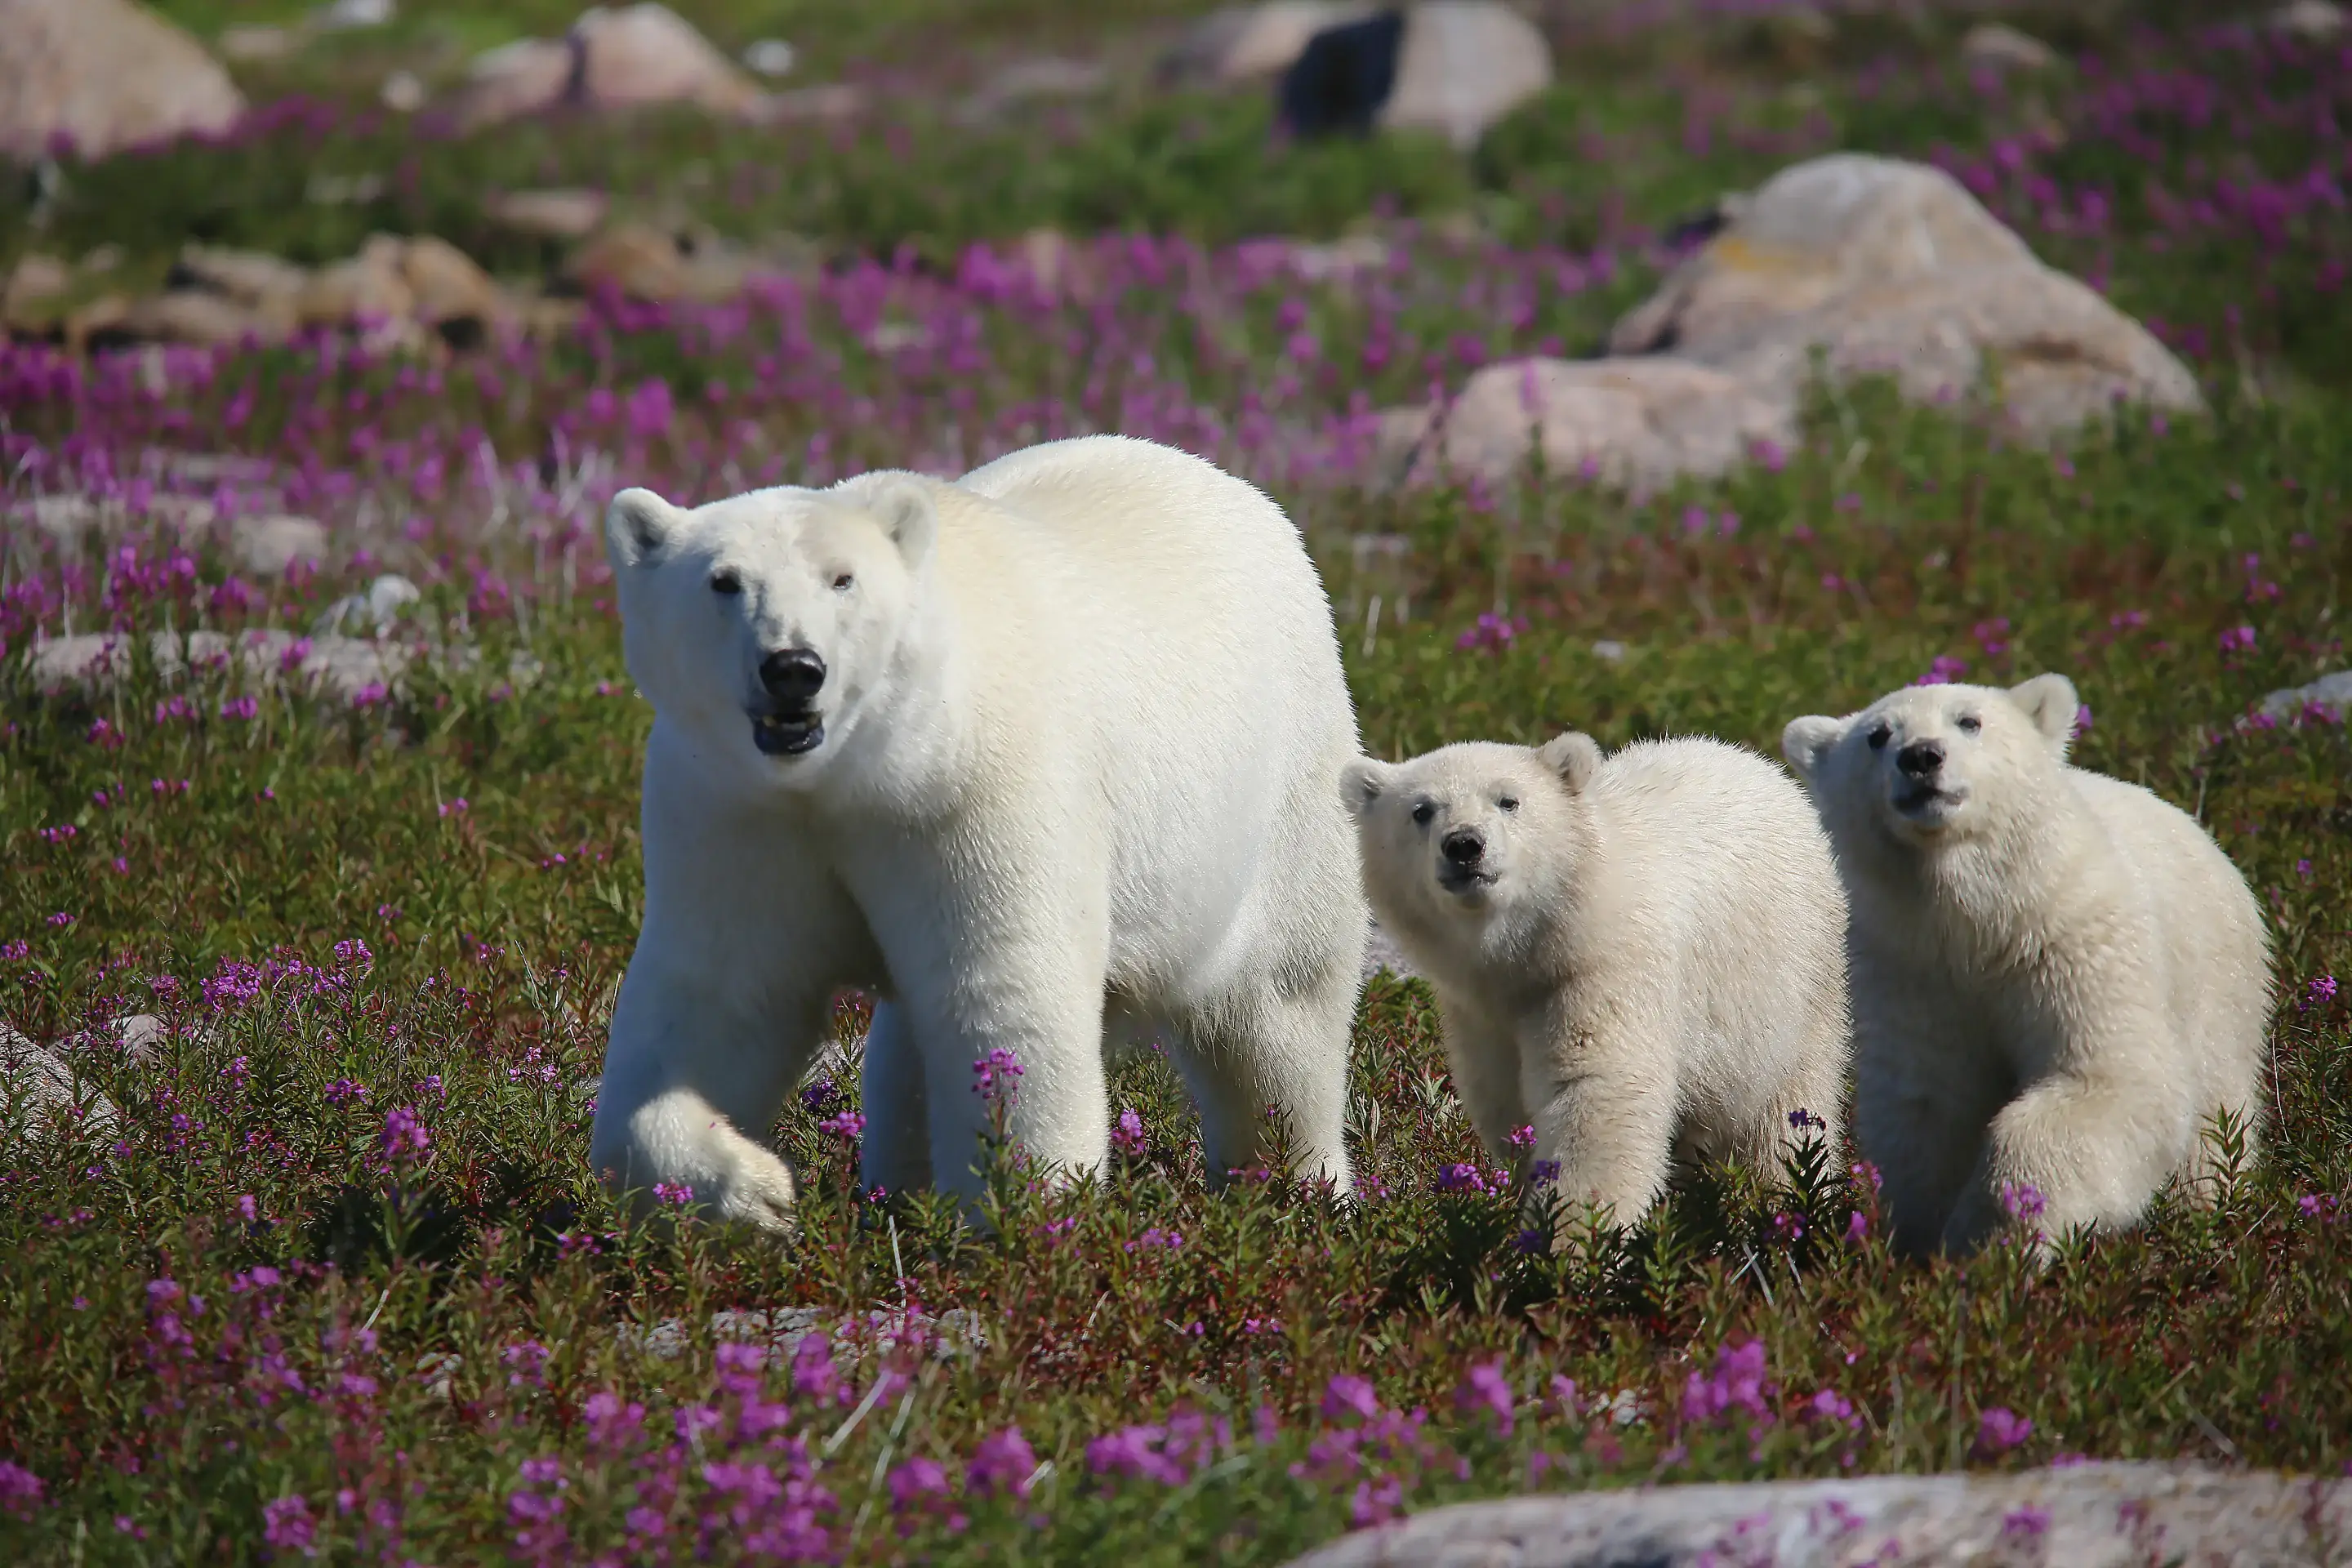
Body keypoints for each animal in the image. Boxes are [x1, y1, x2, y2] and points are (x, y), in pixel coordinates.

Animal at [587, 435, 1369, 1232]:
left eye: (842, 579)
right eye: (723, 581)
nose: (793, 669)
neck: (857, 773)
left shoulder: (974, 793)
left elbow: (1007, 993)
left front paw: (1021, 1213)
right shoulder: (738, 812)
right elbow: (720, 1000)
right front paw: (752, 1190)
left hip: (1279, 796)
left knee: (1279, 1008)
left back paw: (1293, 1185)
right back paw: (897, 1188)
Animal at [1342, 733, 1850, 1235]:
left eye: (1509, 800)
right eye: (1421, 810)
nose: (1464, 845)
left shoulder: (1603, 970)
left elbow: (1597, 1090)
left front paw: (1574, 1235)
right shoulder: (1479, 1011)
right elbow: (1504, 1099)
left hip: (1797, 989)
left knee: (1785, 1112)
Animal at [1781, 673, 2272, 1257]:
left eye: (1969, 720)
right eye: (1877, 736)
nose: (1921, 757)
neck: (1982, 922)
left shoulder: (2070, 945)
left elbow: (2103, 1077)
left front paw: (1991, 1230)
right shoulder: (1914, 973)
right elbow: (1931, 1107)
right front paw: (1922, 1238)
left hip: (2215, 982)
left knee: (2215, 1111)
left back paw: (2204, 1203)